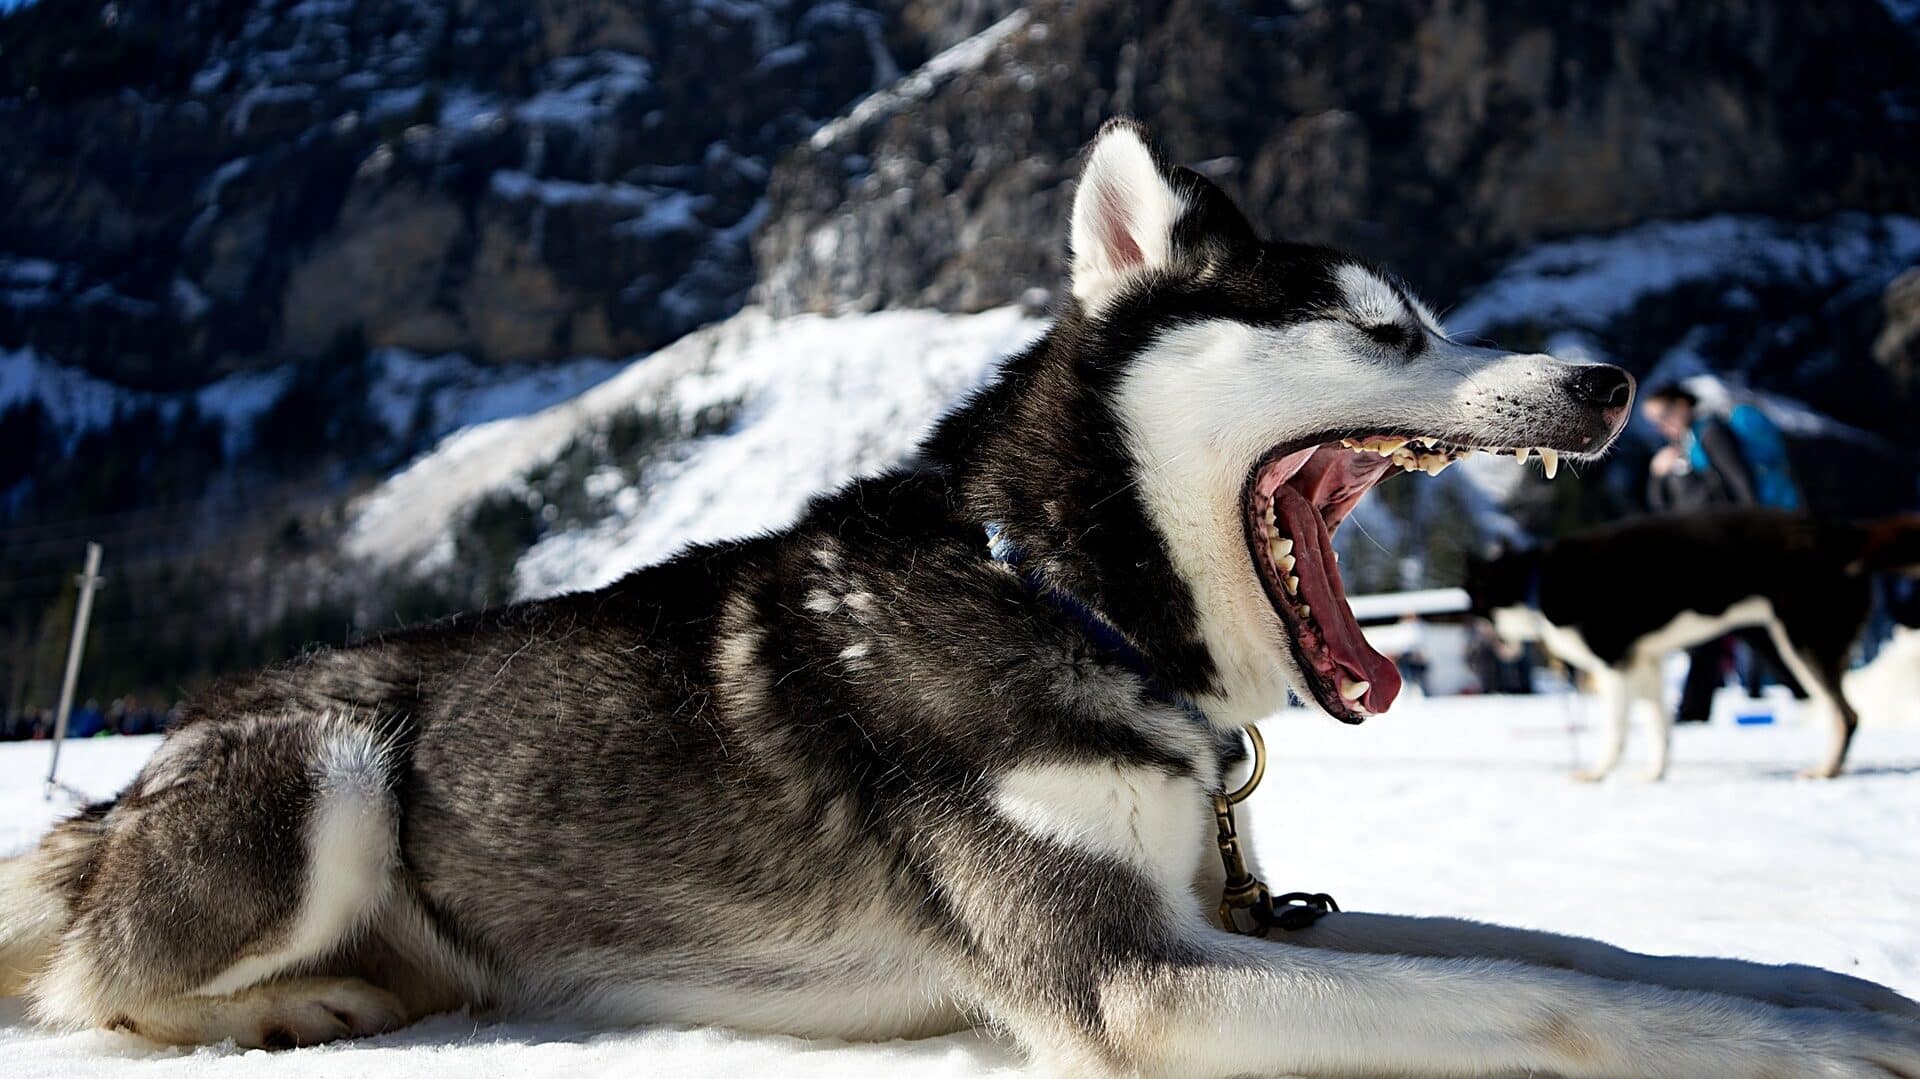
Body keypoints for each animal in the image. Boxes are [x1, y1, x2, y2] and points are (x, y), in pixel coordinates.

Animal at [1466, 506, 1920, 775]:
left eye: (1475, 599)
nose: (1467, 619)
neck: (1536, 580)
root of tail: (1844, 532)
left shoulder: (1615, 667)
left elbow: (1616, 730)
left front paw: (1599, 773)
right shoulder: (1646, 662)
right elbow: (1659, 728)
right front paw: (1653, 775)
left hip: (1802, 644)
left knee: (1847, 716)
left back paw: (1826, 771)